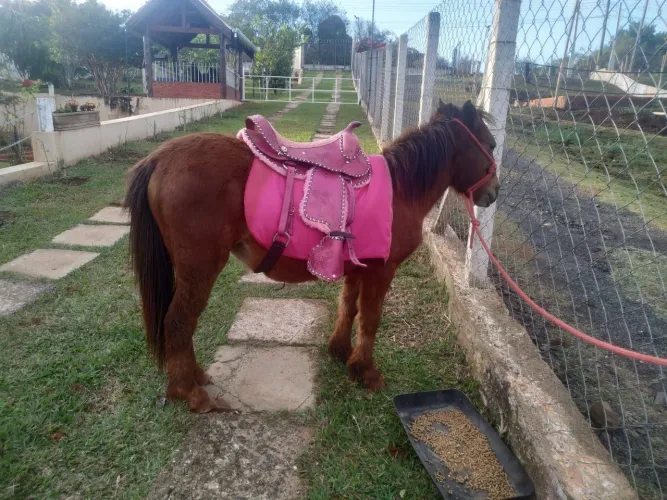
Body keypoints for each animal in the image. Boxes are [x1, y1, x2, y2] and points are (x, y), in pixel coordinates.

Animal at [124, 99, 499, 413]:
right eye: (492, 145)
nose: (493, 194)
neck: (400, 189)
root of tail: (159, 159)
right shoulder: (381, 271)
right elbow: (370, 319)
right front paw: (366, 371)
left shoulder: (357, 269)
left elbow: (348, 307)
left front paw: (340, 352)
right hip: (199, 268)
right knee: (178, 321)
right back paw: (190, 393)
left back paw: (195, 377)